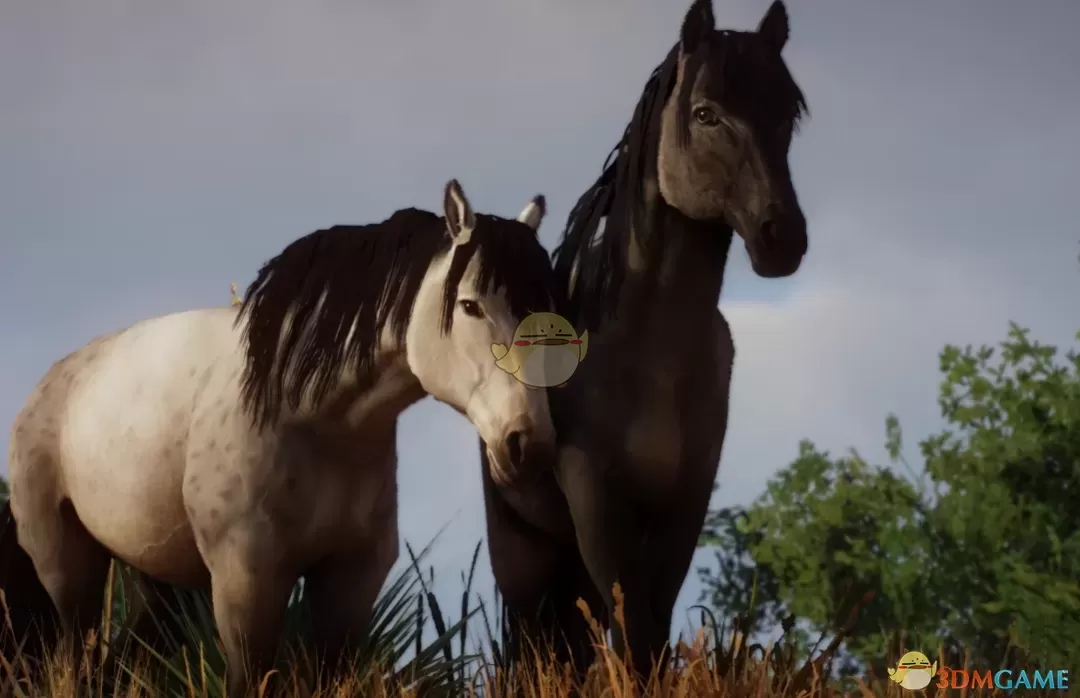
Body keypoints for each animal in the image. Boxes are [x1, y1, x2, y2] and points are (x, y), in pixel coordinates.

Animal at [2, 179, 559, 694]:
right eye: (469, 306)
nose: (526, 442)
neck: (308, 416)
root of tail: (53, 381)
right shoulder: (246, 584)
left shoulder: (350, 582)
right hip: (68, 571)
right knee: (78, 661)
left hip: (158, 580)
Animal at [479, 0, 811, 681]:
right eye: (705, 112)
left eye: (787, 111)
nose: (782, 238)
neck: (648, 347)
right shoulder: (594, 497)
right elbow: (638, 633)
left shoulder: (686, 501)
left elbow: (648, 631)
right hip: (523, 551)